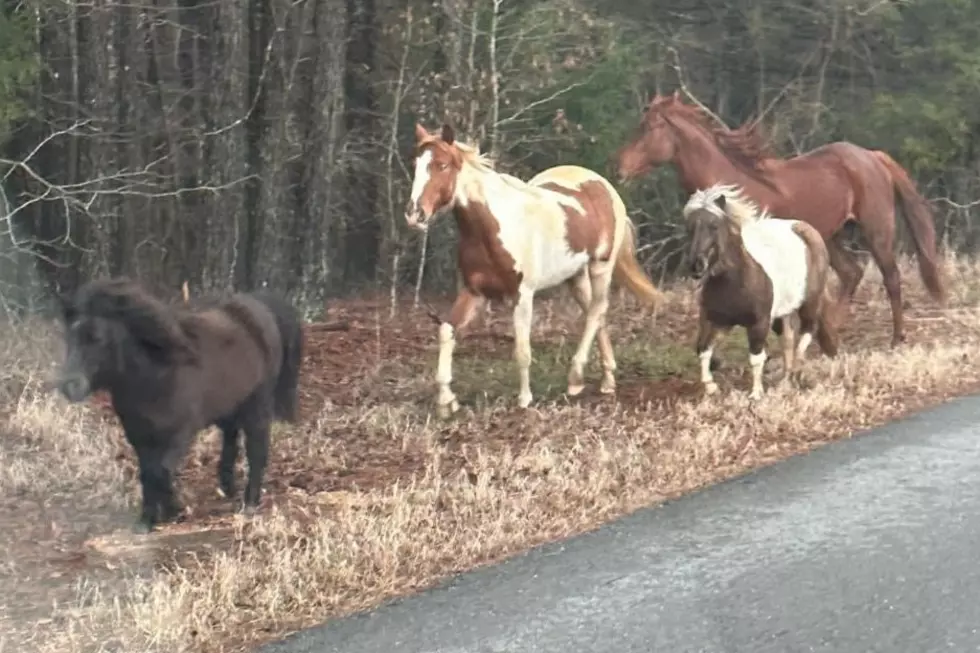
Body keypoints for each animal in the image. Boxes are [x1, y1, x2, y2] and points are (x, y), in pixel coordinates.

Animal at [56, 278, 302, 532]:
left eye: (98, 338)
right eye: (69, 338)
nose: (69, 386)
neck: (158, 375)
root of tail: (259, 306)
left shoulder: (180, 433)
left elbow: (161, 472)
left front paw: (174, 509)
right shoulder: (138, 435)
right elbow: (147, 473)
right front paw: (148, 519)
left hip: (258, 404)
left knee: (256, 449)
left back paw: (250, 502)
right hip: (230, 406)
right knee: (231, 439)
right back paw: (227, 487)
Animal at [406, 123, 668, 418]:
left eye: (442, 165)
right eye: (416, 163)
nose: (414, 215)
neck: (493, 227)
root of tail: (603, 185)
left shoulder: (523, 295)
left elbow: (522, 350)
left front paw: (524, 399)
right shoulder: (474, 292)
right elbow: (446, 331)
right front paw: (446, 401)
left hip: (601, 266)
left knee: (595, 311)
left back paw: (575, 379)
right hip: (575, 277)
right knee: (596, 312)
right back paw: (607, 380)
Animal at [616, 91, 944, 348]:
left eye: (651, 126)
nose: (620, 168)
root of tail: (873, 156)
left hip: (876, 230)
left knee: (891, 278)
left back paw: (896, 337)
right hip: (831, 235)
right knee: (852, 273)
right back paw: (829, 332)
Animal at [684, 181, 840, 400]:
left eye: (714, 226)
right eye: (688, 228)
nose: (696, 265)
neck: (734, 280)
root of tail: (806, 229)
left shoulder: (759, 323)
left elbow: (756, 357)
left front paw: (756, 393)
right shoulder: (716, 321)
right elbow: (703, 350)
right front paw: (711, 387)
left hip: (809, 302)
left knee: (809, 330)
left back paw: (802, 370)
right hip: (784, 313)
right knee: (789, 341)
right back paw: (787, 381)